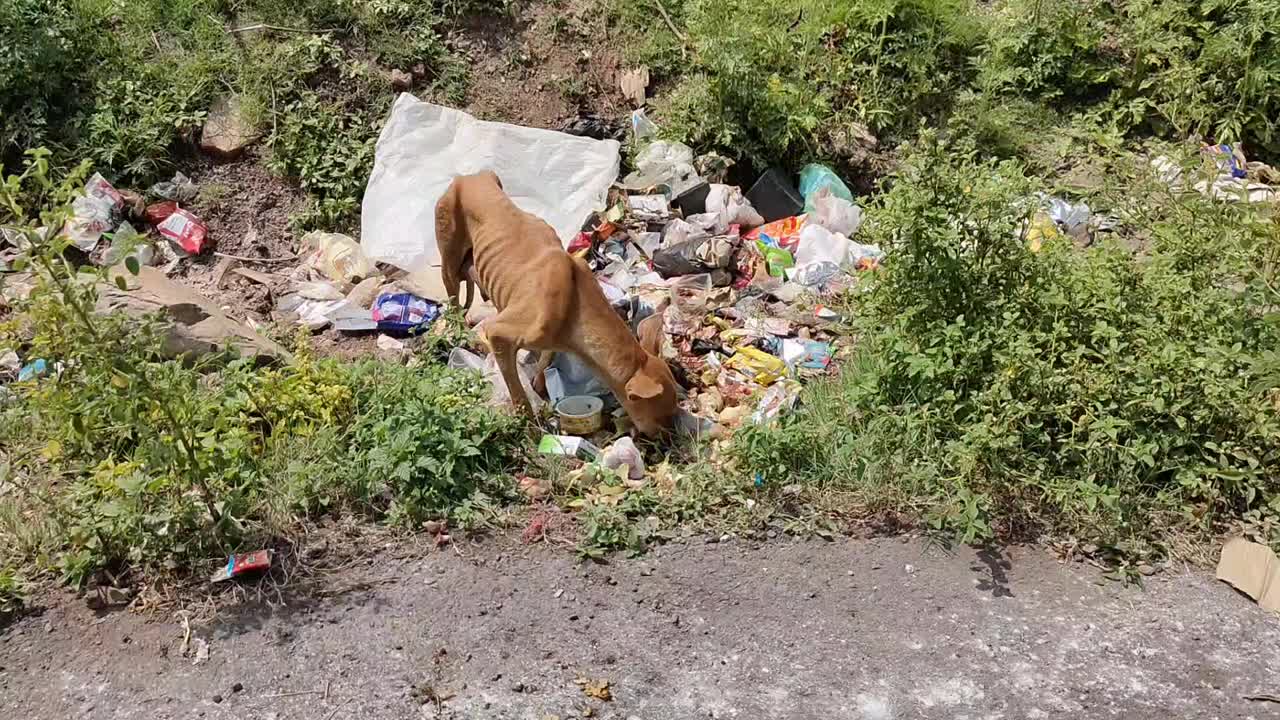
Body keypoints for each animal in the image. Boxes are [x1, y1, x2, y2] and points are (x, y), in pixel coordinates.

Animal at [435, 170, 680, 435]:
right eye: (663, 417)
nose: (669, 439)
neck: (576, 304)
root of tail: (469, 176)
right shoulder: (499, 333)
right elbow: (517, 391)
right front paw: (529, 426)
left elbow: (546, 356)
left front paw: (540, 380)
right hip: (448, 256)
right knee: (453, 301)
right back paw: (459, 335)